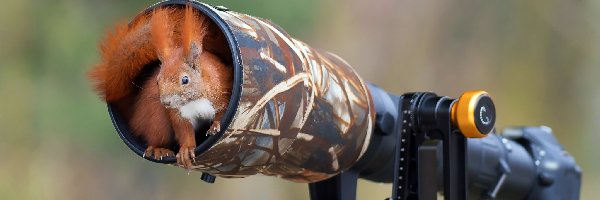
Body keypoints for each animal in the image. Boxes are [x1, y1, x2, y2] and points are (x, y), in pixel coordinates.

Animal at [89, 5, 232, 169]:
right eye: (157, 81)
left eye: (185, 79)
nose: (166, 102)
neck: (192, 100)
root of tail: (134, 118)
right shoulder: (177, 115)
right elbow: (184, 131)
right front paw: (186, 149)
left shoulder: (220, 94)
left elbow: (222, 112)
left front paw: (216, 125)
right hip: (156, 119)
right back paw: (160, 149)